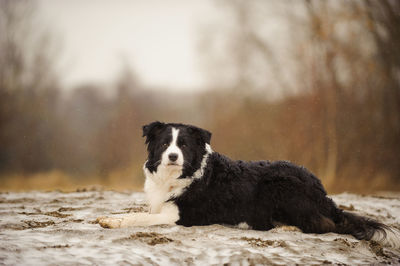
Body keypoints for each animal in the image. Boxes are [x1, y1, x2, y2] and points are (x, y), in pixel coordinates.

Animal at [97, 121, 400, 248]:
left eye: (183, 146)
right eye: (164, 145)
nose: (172, 156)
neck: (179, 176)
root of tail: (321, 190)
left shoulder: (181, 214)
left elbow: (137, 217)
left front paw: (112, 221)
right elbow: (140, 212)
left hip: (280, 183)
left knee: (323, 224)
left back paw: (286, 226)